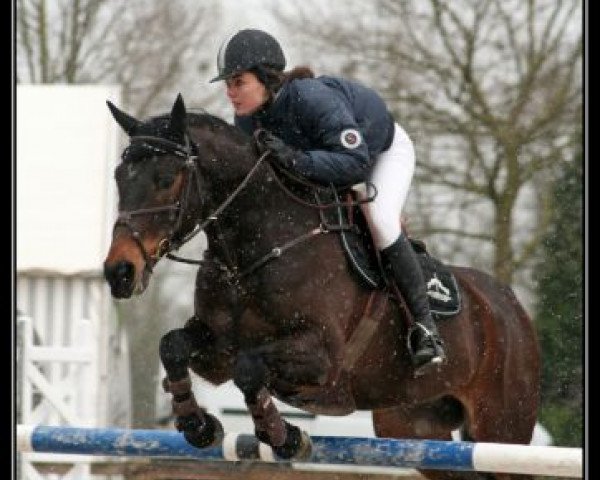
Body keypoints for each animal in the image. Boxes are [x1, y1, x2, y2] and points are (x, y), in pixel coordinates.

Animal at [102, 94, 540, 480]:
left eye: (166, 178)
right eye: (119, 178)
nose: (119, 272)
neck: (255, 249)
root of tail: (511, 304)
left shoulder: (321, 355)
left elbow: (250, 367)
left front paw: (284, 436)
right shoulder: (218, 352)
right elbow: (173, 345)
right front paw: (199, 425)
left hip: (502, 428)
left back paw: (427, 343)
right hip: (416, 427)